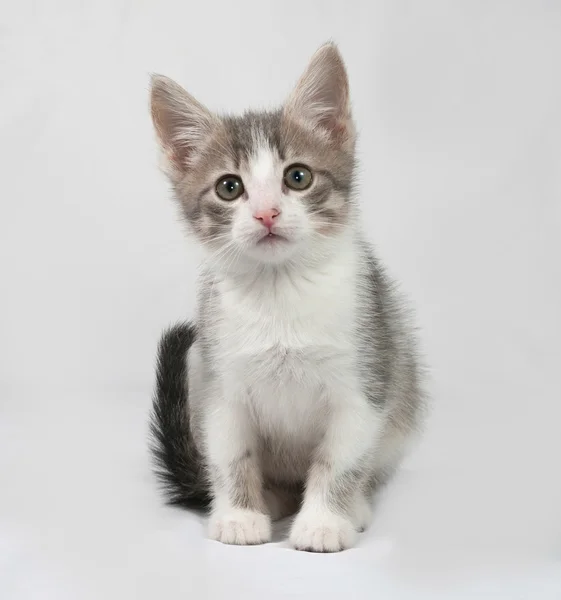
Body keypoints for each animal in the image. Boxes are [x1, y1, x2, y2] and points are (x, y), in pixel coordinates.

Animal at [149, 42, 424, 552]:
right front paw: (240, 514)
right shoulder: (221, 384)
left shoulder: (365, 378)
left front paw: (324, 522)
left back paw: (354, 507)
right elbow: (232, 454)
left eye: (298, 177)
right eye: (229, 187)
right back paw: (272, 499)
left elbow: (340, 461)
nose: (266, 213)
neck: (280, 292)